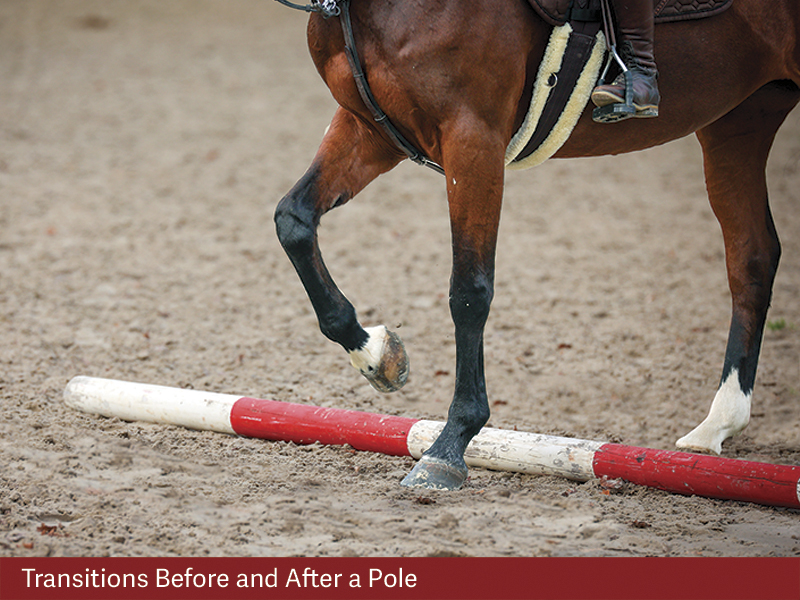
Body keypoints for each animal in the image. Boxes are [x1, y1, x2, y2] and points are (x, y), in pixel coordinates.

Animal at [273, 0, 800, 489]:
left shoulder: (474, 137)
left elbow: (469, 291)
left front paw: (450, 445)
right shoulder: (370, 128)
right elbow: (293, 223)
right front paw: (377, 356)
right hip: (739, 120)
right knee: (752, 259)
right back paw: (718, 424)